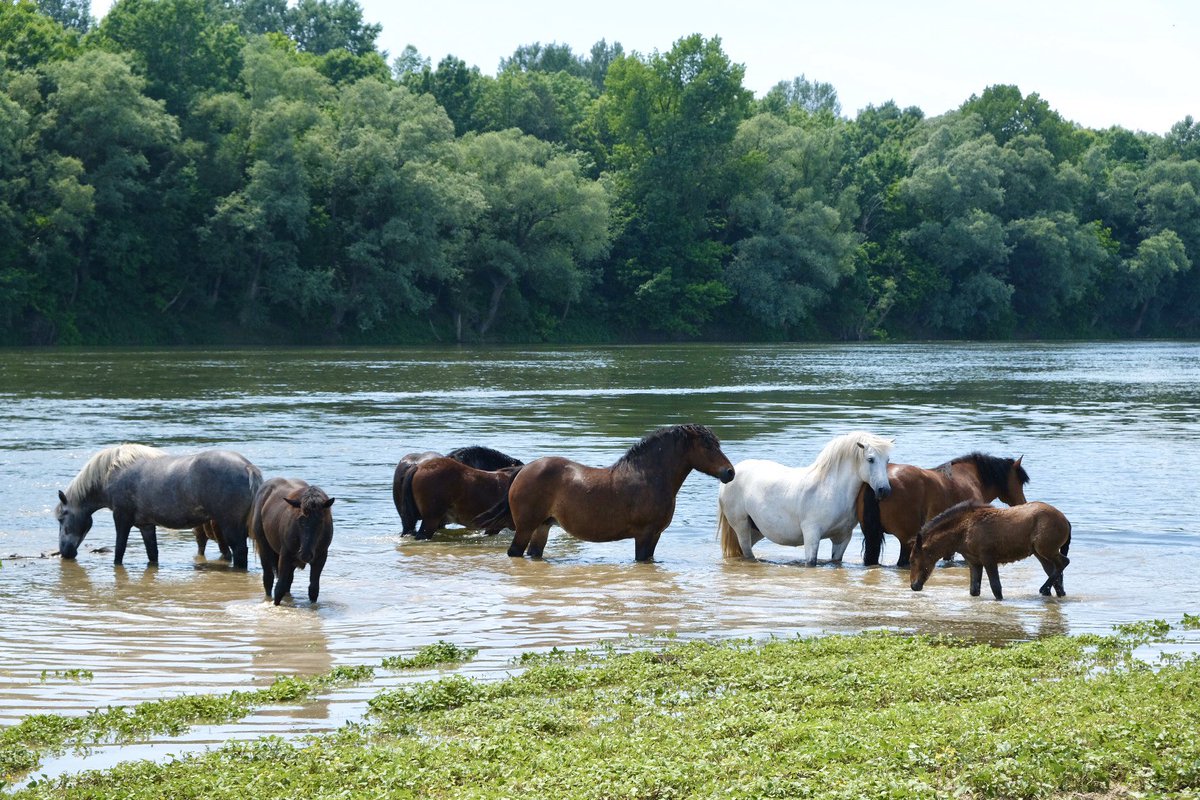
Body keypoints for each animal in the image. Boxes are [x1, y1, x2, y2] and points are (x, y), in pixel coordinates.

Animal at [55, 444, 263, 569]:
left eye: (61, 518)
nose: (65, 552)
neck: (112, 471)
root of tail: (247, 467)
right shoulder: (146, 526)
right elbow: (152, 554)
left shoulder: (122, 519)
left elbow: (119, 551)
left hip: (230, 527)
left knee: (239, 552)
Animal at [476, 424, 735, 562]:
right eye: (707, 445)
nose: (729, 472)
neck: (648, 476)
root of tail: (523, 469)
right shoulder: (644, 535)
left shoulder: (655, 535)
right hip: (525, 527)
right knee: (514, 552)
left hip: (542, 527)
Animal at [718, 431, 894, 566]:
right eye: (870, 459)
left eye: (887, 460)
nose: (884, 490)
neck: (832, 489)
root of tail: (734, 471)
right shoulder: (811, 534)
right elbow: (811, 563)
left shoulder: (842, 538)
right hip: (741, 526)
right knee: (747, 553)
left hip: (756, 530)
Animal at [909, 500, 1071, 600]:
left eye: (912, 560)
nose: (913, 585)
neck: (962, 533)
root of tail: (1066, 521)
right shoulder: (974, 562)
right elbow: (974, 590)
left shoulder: (988, 558)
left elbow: (996, 588)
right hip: (1040, 553)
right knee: (1056, 575)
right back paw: (1052, 592)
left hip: (1045, 549)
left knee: (1063, 562)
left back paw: (1044, 589)